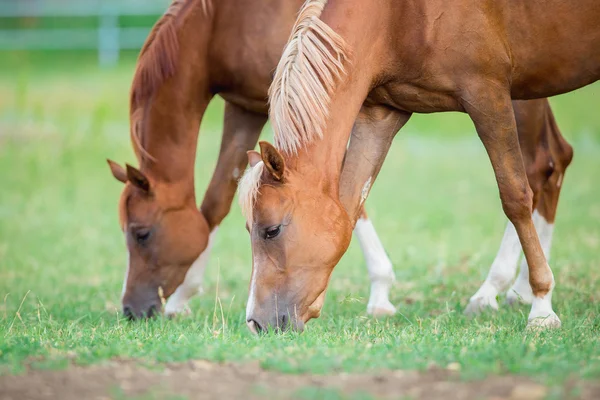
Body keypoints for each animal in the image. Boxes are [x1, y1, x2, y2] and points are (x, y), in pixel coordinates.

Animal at [240, 0, 592, 332]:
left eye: (272, 230)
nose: (255, 323)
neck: (397, 15)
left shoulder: (488, 95)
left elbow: (515, 197)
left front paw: (542, 308)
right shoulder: (380, 115)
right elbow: (351, 205)